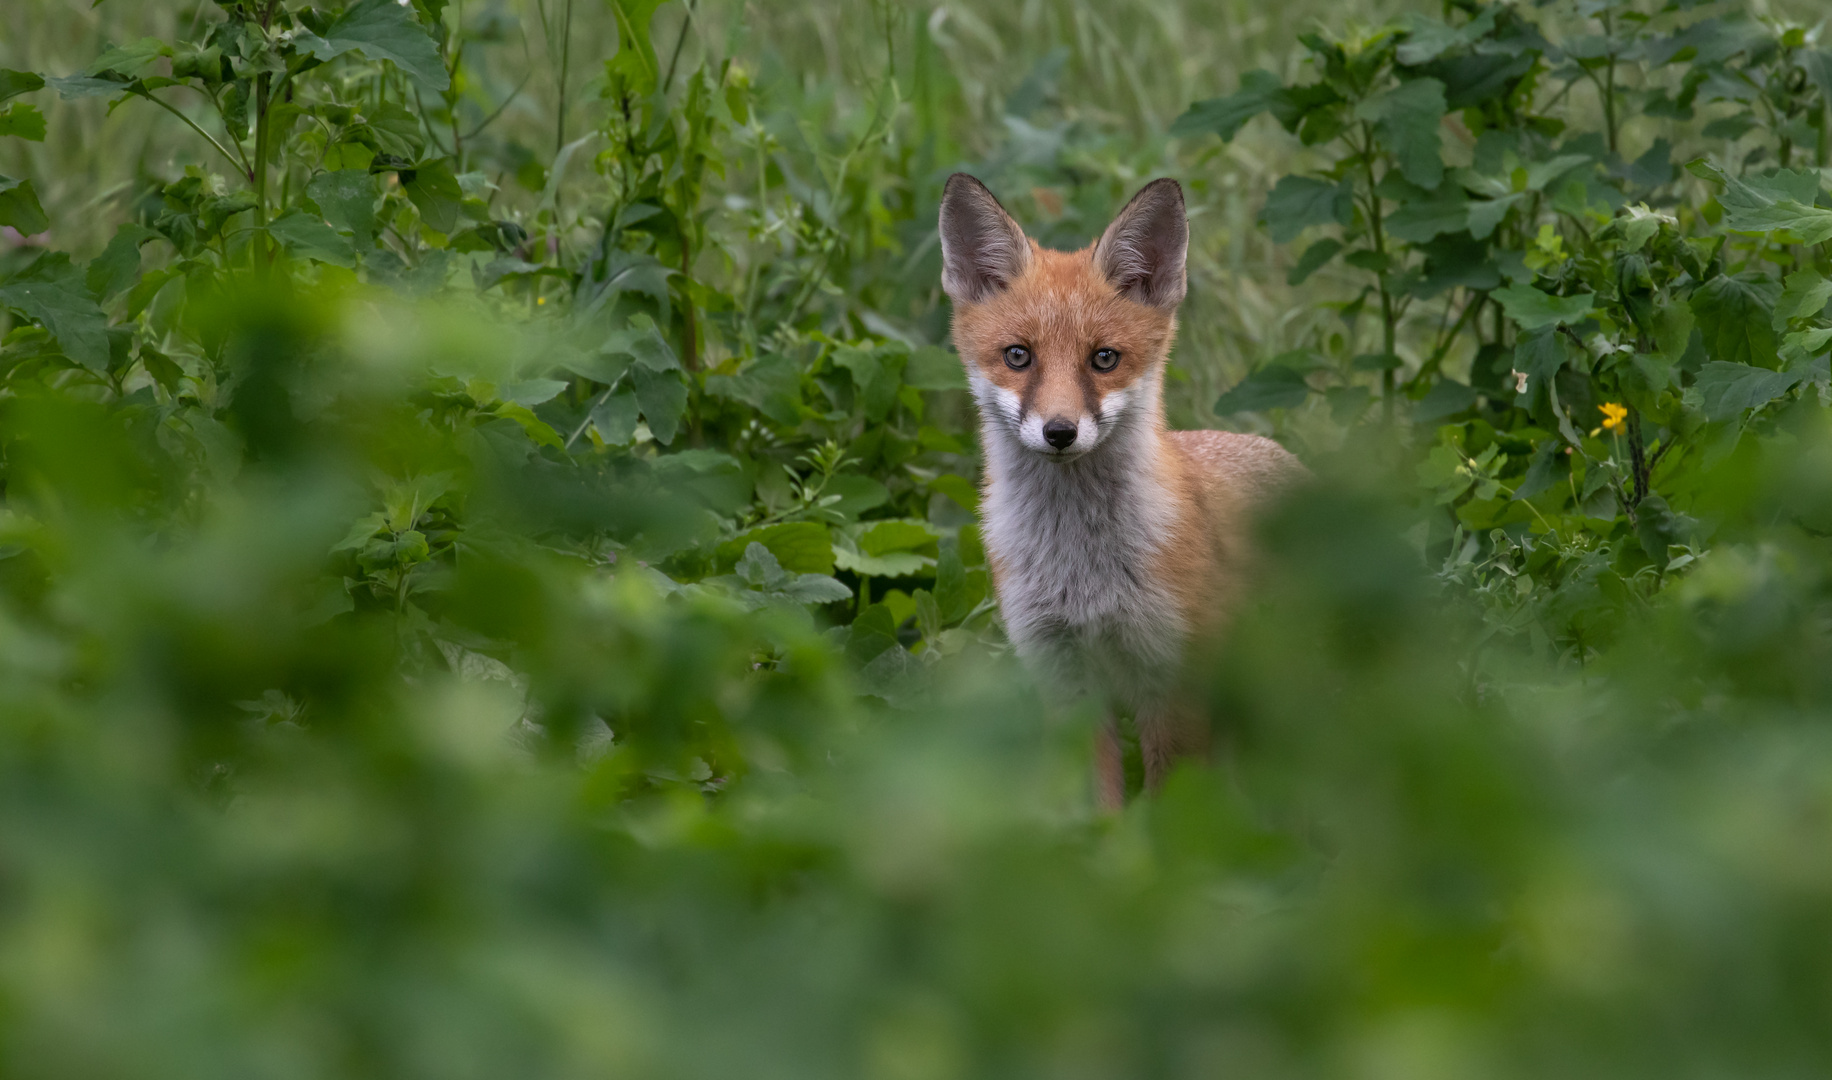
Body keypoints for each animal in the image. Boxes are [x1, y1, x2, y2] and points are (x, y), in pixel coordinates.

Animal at [945, 173, 1304, 809]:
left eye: (1104, 359)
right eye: (1018, 356)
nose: (1059, 431)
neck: (1082, 571)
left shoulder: (1172, 679)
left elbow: (1169, 806)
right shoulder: (1064, 676)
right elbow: (1099, 810)